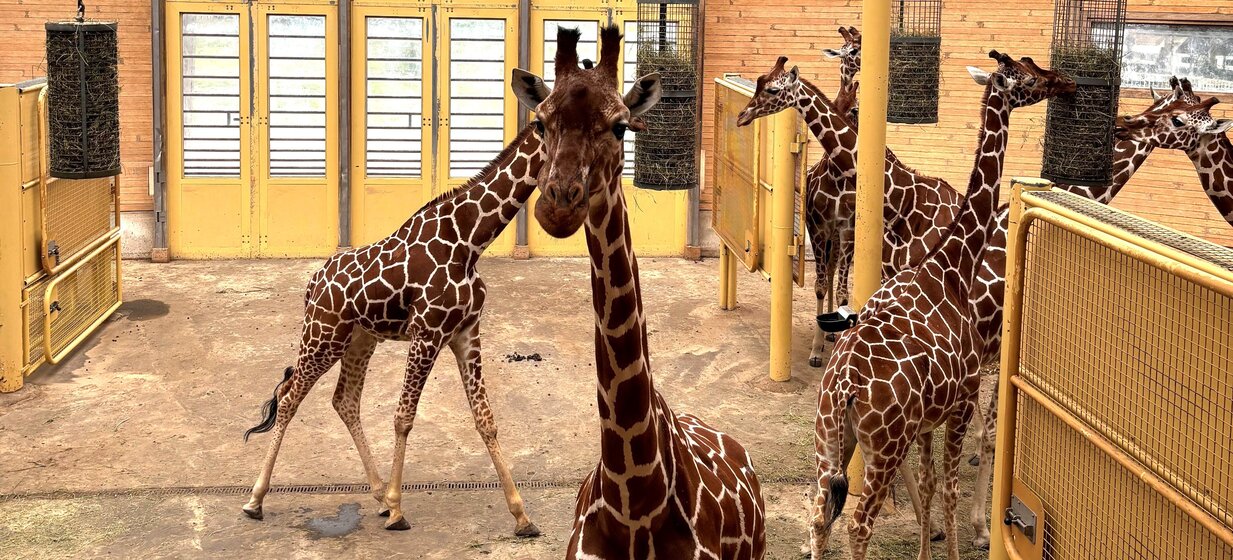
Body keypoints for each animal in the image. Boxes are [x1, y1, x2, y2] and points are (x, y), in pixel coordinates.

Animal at [237, 121, 547, 532]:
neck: (467, 242)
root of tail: (312, 284)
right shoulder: (427, 332)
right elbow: (403, 417)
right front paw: (400, 509)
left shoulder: (465, 333)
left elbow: (485, 419)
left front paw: (522, 516)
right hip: (322, 337)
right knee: (289, 398)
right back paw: (255, 500)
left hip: (358, 340)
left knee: (344, 400)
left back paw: (379, 495)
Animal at [803, 50, 1075, 557]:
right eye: (1028, 74)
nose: (1063, 82)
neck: (953, 264)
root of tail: (843, 386)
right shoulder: (962, 399)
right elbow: (947, 488)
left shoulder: (929, 419)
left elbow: (930, 485)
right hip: (883, 444)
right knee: (857, 524)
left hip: (829, 437)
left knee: (818, 514)